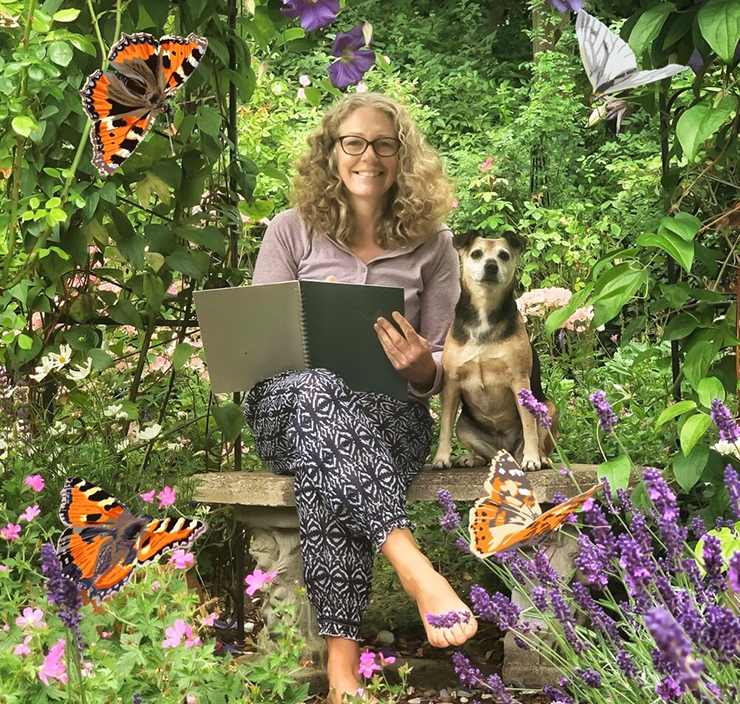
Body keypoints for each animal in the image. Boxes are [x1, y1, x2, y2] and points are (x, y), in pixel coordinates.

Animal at [434, 232, 556, 472]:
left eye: (504, 255)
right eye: (476, 254)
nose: (490, 266)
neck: (485, 312)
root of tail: (507, 450)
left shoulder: (519, 380)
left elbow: (529, 425)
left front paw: (531, 459)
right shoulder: (451, 382)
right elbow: (444, 425)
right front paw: (441, 458)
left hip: (549, 408)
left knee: (539, 440)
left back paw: (539, 457)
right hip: (464, 426)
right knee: (486, 455)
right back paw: (470, 459)